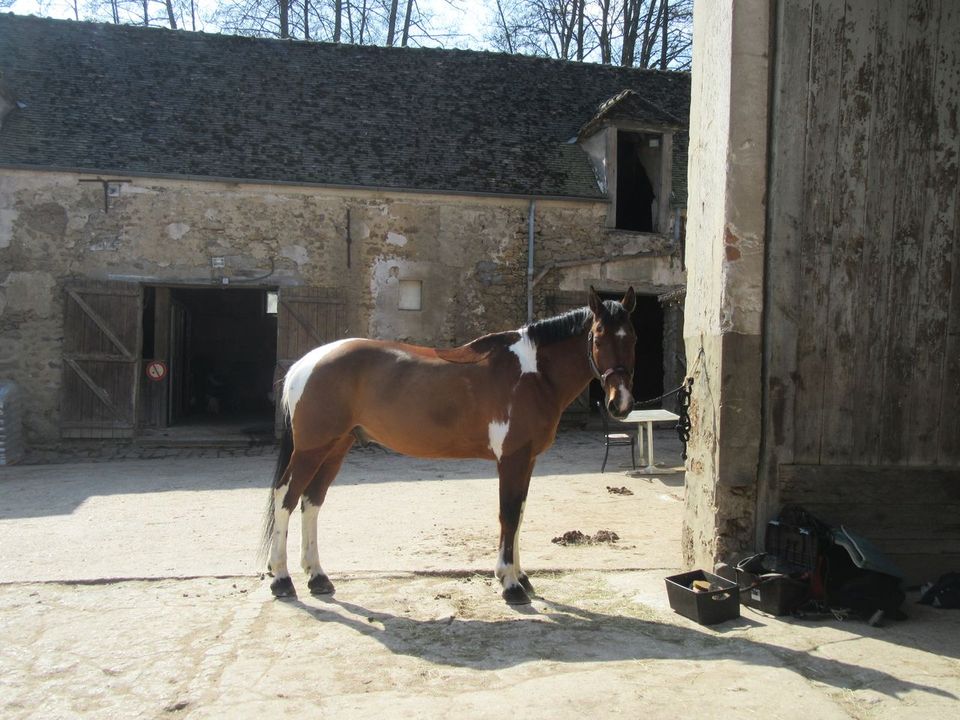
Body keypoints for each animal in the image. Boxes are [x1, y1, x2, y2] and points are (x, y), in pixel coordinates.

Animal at [262, 284, 636, 604]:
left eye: (633, 337)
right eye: (598, 337)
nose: (620, 403)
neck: (532, 373)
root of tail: (306, 363)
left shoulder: (527, 459)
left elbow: (519, 512)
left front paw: (521, 576)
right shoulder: (512, 458)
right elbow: (508, 513)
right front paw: (510, 584)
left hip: (335, 447)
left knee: (312, 502)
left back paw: (317, 577)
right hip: (312, 450)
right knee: (285, 498)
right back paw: (281, 579)